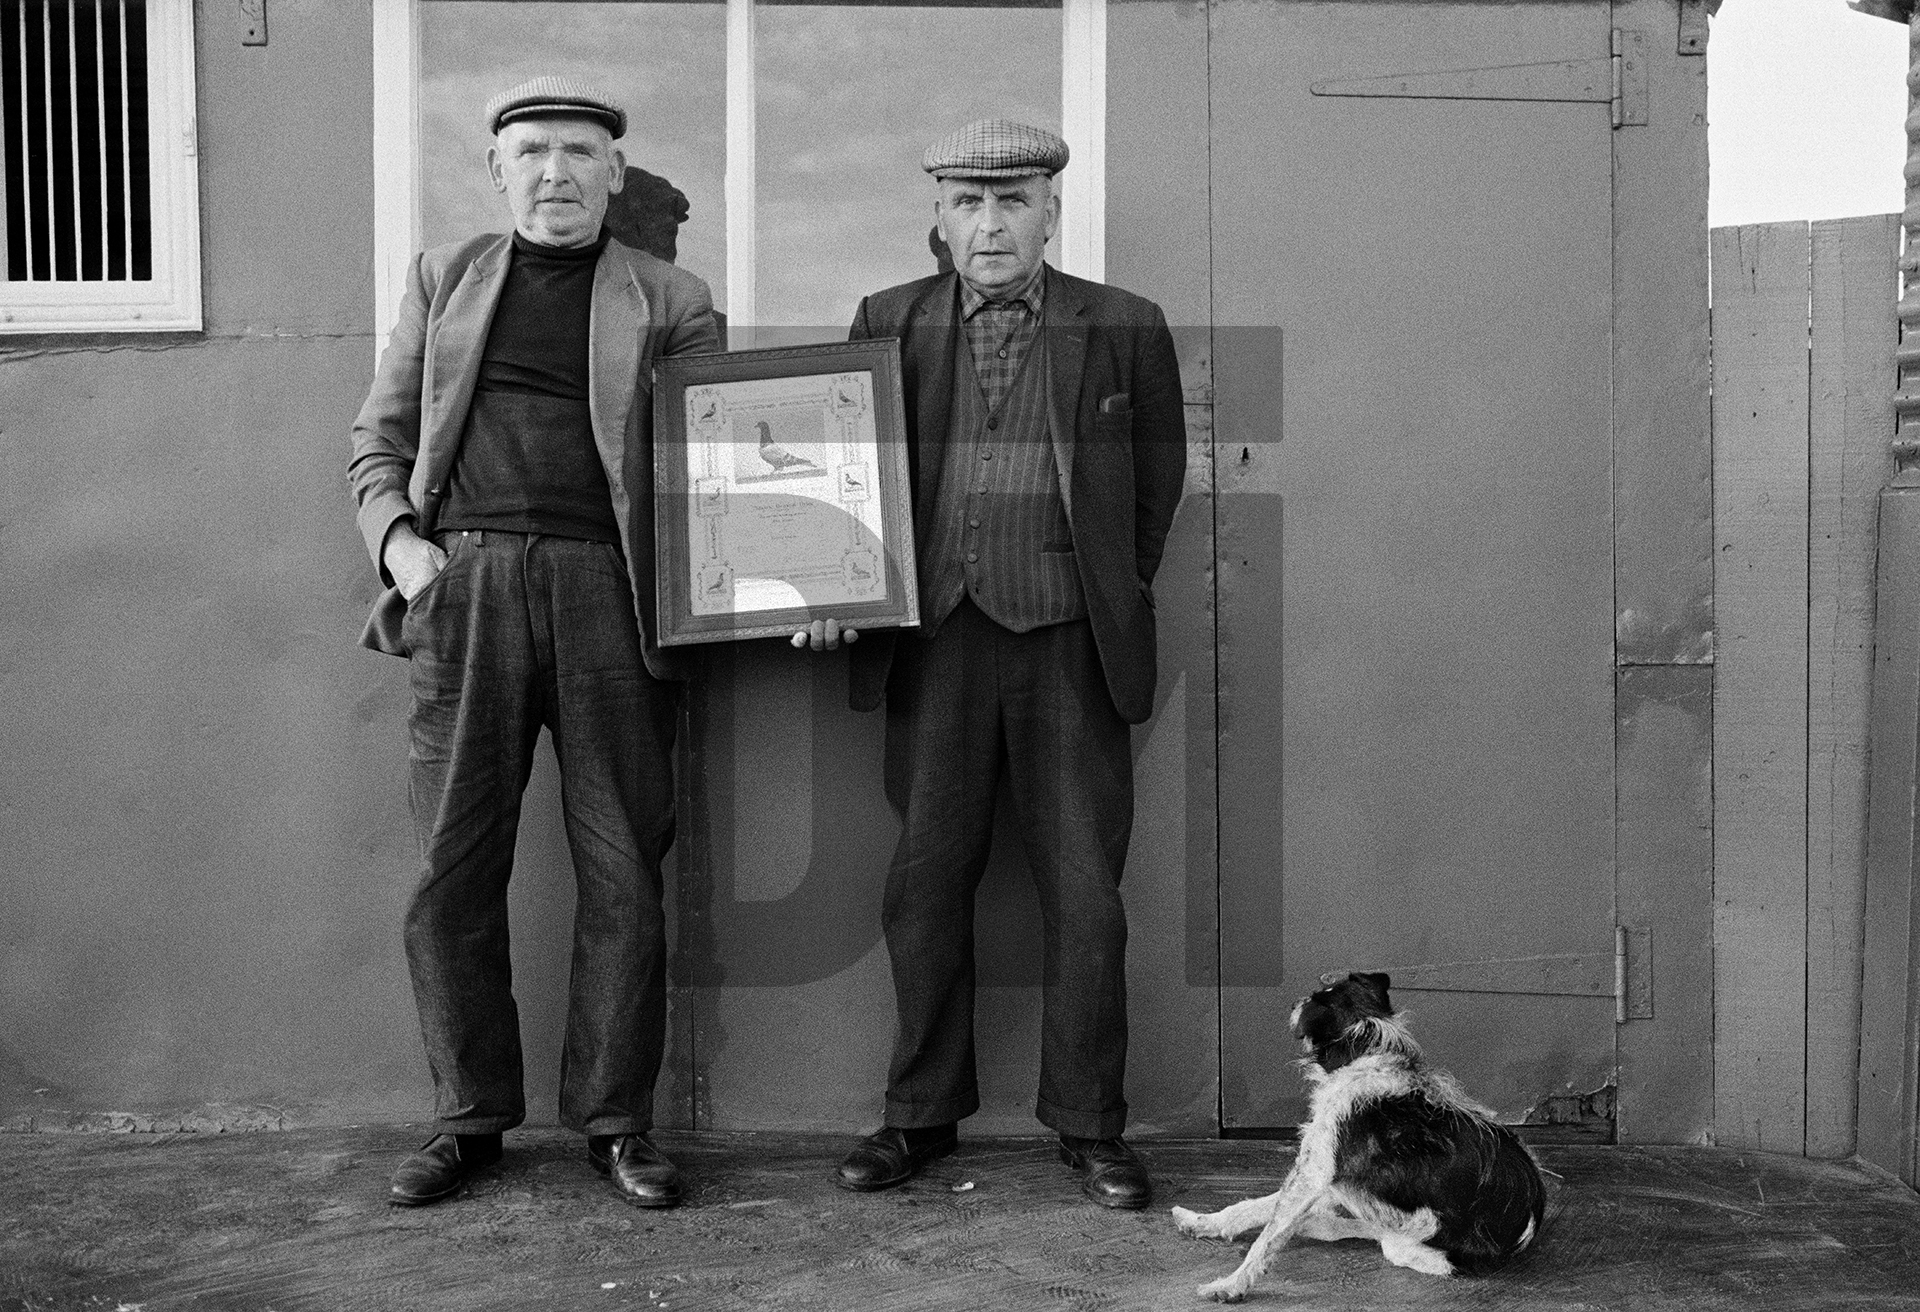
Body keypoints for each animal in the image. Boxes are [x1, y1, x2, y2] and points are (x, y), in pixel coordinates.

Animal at [1167, 968, 1543, 1298]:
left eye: (1315, 997)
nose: (1292, 1003)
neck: (1365, 1056)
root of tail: (1524, 1232)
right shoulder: (1323, 1171)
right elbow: (1252, 1207)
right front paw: (1203, 1222)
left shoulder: (1314, 1173)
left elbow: (1269, 1236)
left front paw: (1232, 1284)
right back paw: (1317, 1223)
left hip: (1408, 1236)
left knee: (1382, 1237)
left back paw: (1316, 1225)